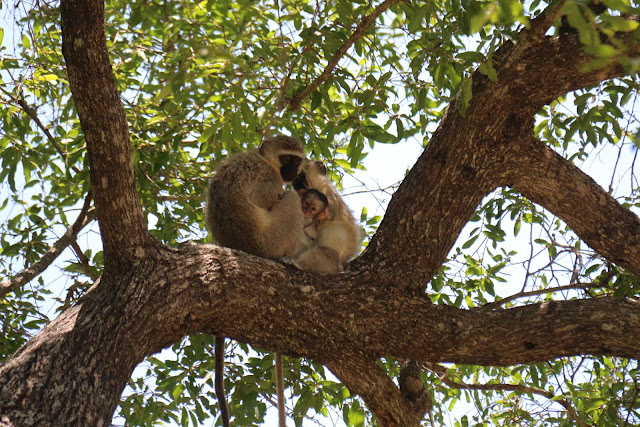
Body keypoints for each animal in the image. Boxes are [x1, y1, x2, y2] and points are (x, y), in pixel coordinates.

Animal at [205, 135, 304, 426]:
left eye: (297, 160)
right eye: (286, 158)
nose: (292, 173)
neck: (264, 159)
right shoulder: (269, 178)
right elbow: (266, 198)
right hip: (273, 238)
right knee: (289, 199)